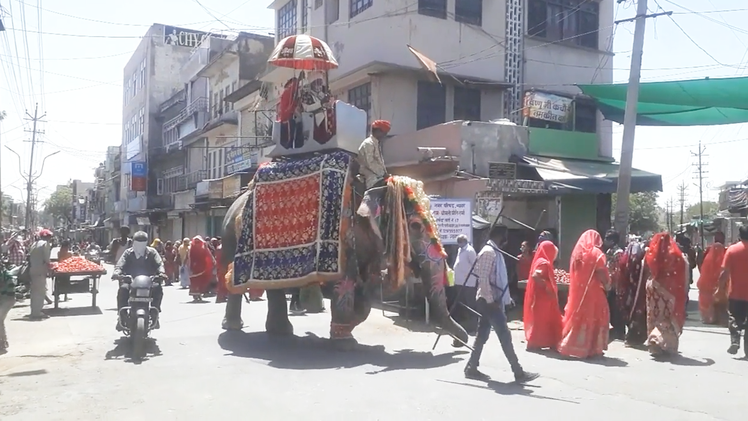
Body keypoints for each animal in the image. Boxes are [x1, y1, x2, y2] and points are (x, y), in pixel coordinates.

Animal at [221, 176, 468, 350]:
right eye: (415, 225)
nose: (459, 343)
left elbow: (366, 292)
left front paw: (347, 327)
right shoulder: (342, 236)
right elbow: (345, 283)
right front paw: (345, 343)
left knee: (275, 288)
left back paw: (281, 331)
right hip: (229, 236)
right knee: (233, 281)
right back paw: (234, 327)